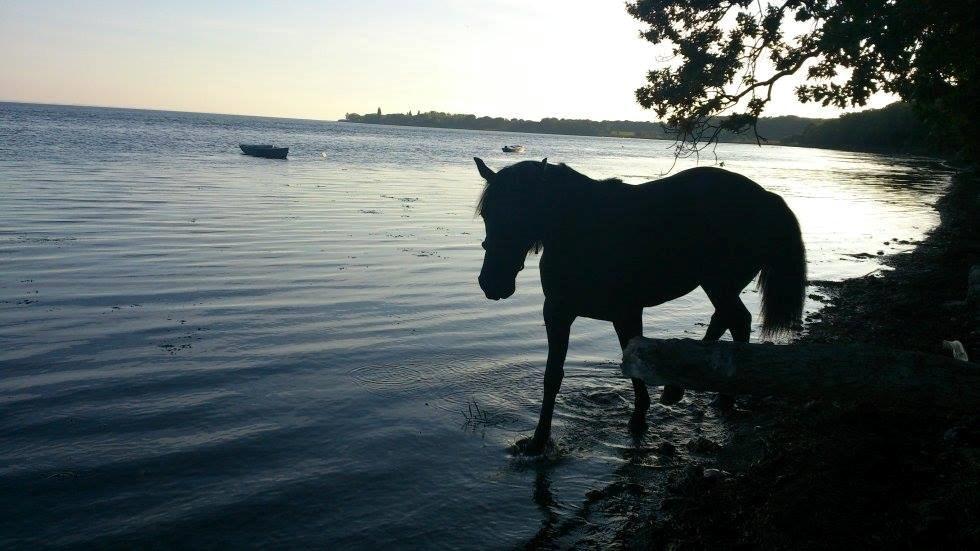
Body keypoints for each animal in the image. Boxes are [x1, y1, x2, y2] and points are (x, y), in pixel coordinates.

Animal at [472, 157, 804, 454]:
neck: (581, 229)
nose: (492, 283)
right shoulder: (559, 312)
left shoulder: (626, 312)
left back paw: (701, 393)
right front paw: (539, 441)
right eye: (487, 215)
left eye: (522, 213)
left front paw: (639, 416)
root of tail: (767, 197)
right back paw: (699, 392)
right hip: (720, 286)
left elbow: (633, 363)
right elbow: (553, 376)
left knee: (736, 319)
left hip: (719, 284)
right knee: (729, 319)